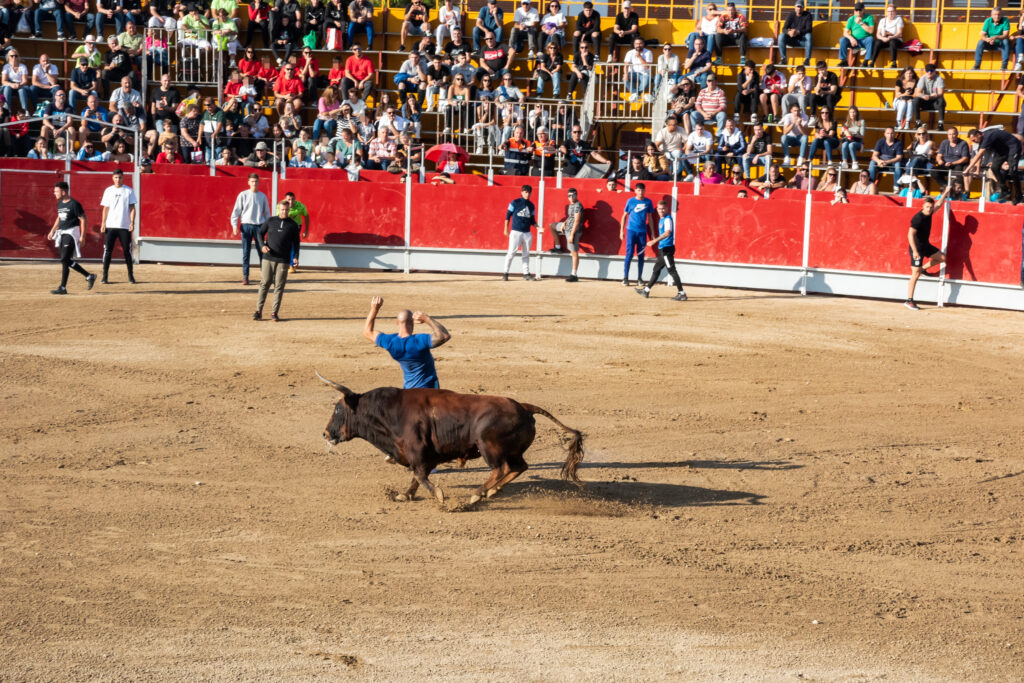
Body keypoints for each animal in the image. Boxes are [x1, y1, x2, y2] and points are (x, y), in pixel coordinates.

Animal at [315, 370, 585, 505]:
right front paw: (405, 495)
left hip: (489, 447)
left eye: (337, 409)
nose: (325, 433)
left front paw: (439, 496)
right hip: (512, 451)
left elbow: (420, 475)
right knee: (519, 467)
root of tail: (524, 407)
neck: (389, 412)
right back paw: (491, 492)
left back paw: (477, 495)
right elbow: (416, 477)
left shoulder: (418, 453)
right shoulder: (423, 456)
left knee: (502, 468)